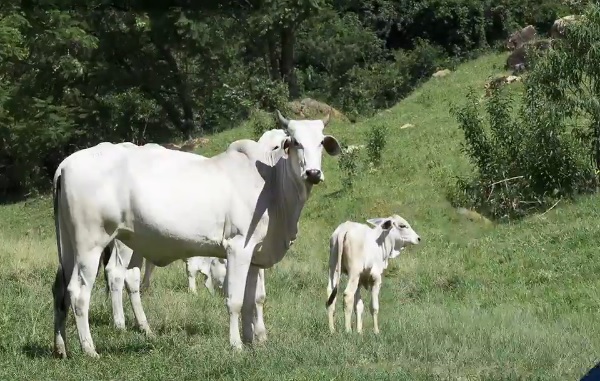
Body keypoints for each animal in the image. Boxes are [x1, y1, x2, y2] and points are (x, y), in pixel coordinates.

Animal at [51, 110, 342, 356]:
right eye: (295, 142)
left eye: (320, 143)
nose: (313, 173)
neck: (270, 184)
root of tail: (66, 164)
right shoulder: (238, 248)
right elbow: (235, 300)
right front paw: (236, 344)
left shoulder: (255, 255)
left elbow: (253, 300)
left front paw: (252, 340)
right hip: (91, 244)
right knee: (82, 291)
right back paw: (90, 349)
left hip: (70, 245)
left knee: (62, 289)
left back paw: (62, 348)